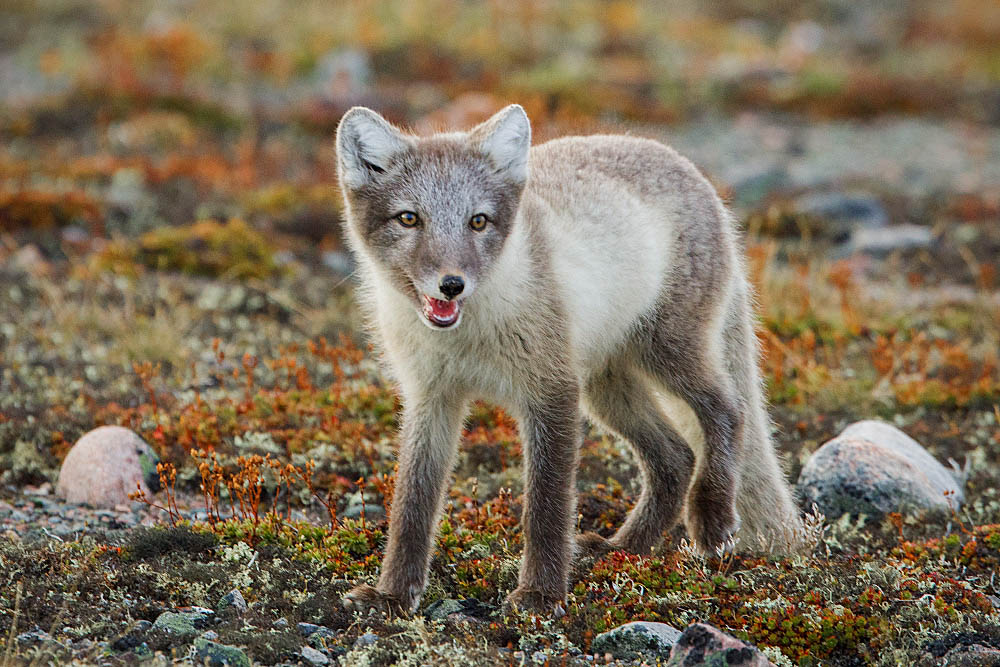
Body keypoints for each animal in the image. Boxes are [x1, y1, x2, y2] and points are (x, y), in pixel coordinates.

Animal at [336, 104, 804, 616]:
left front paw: (541, 596)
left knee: (727, 409)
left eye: (478, 221)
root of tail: (693, 173)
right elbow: (413, 503)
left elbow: (546, 503)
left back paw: (712, 517)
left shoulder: (552, 391)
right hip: (604, 388)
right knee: (676, 457)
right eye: (408, 219)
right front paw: (393, 596)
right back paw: (623, 549)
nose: (452, 284)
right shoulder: (430, 398)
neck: (467, 339)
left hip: (667, 353)